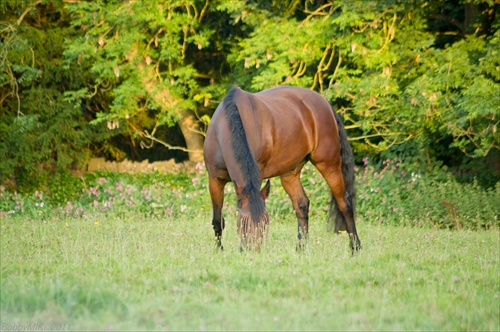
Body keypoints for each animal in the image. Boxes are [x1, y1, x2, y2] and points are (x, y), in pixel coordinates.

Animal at [204, 85, 364, 252]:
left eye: (265, 224)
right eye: (243, 223)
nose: (253, 252)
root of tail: (325, 103)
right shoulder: (214, 180)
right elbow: (217, 220)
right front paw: (218, 250)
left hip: (329, 165)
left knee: (344, 203)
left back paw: (355, 246)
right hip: (290, 173)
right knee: (301, 205)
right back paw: (301, 248)